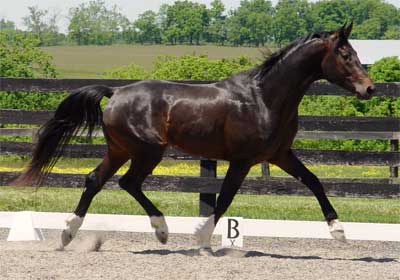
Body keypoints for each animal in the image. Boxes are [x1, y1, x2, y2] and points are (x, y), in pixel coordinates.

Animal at [13, 22, 376, 249]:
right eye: (346, 55)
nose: (369, 89)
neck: (264, 98)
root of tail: (115, 92)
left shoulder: (279, 155)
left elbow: (314, 181)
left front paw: (339, 231)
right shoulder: (243, 160)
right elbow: (225, 197)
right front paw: (201, 239)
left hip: (120, 150)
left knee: (95, 180)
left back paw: (67, 234)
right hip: (146, 151)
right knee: (128, 182)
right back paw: (161, 230)